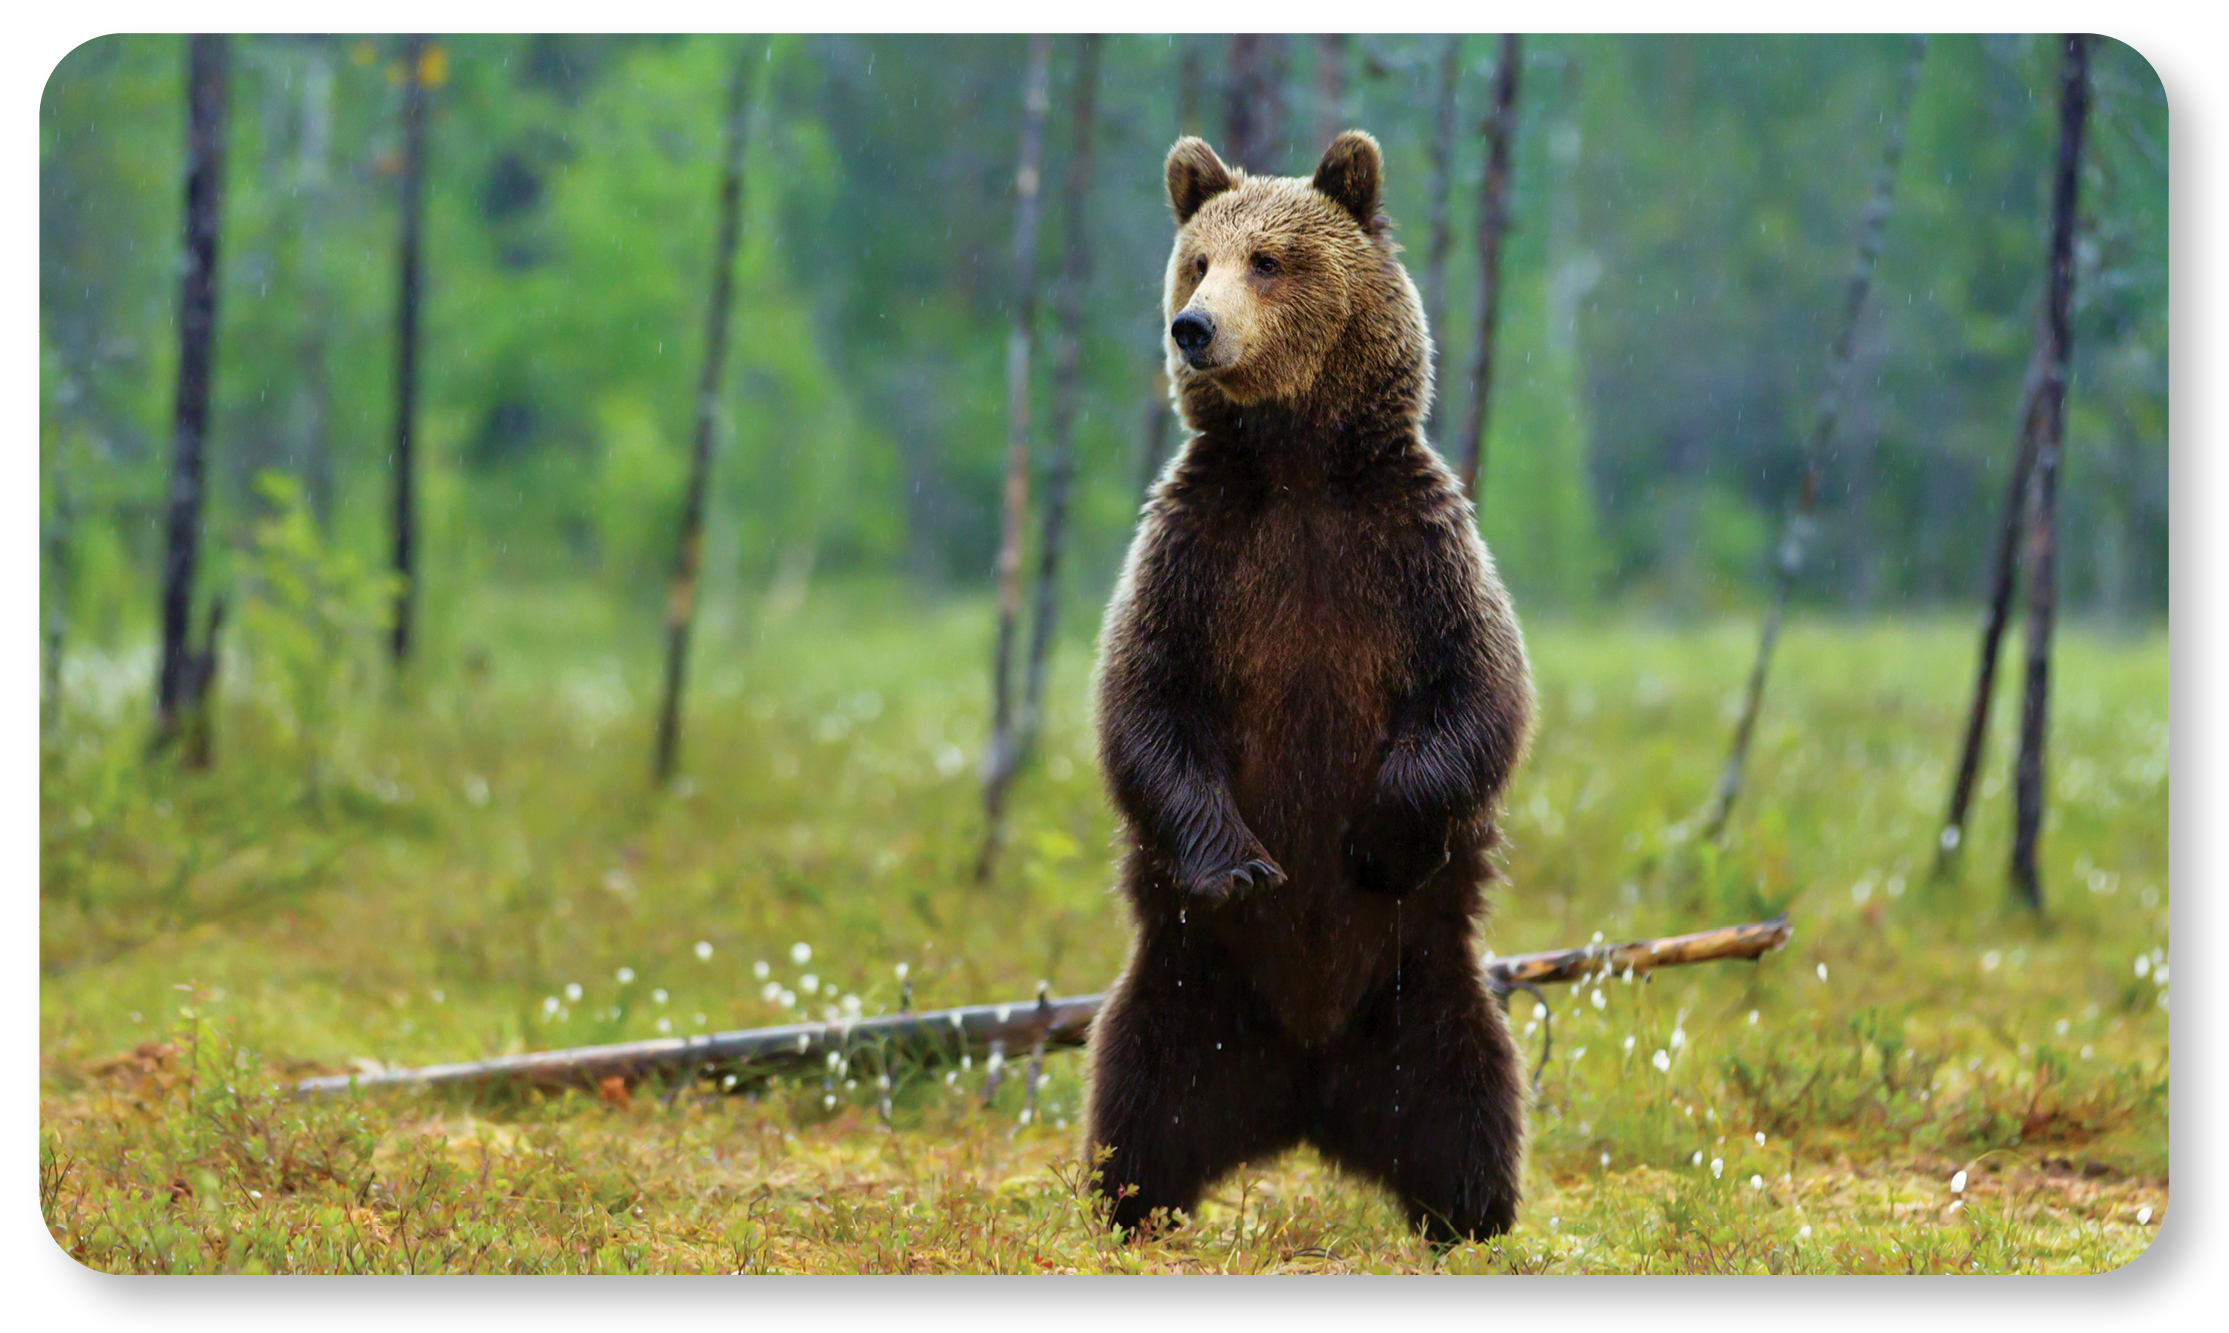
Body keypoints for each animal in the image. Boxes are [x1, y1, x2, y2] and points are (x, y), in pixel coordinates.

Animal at [1083, 130, 1537, 1245]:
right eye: (1198, 261)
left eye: (1271, 261)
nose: (1194, 328)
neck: (1294, 467)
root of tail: (1304, 1088)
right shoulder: (1199, 553)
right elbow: (1145, 705)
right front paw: (1247, 867)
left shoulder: (1409, 548)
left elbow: (1479, 692)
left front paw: (1377, 837)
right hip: (1184, 992)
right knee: (1134, 1097)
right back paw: (1128, 1201)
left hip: (1425, 991)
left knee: (1472, 1096)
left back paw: (1471, 1211)